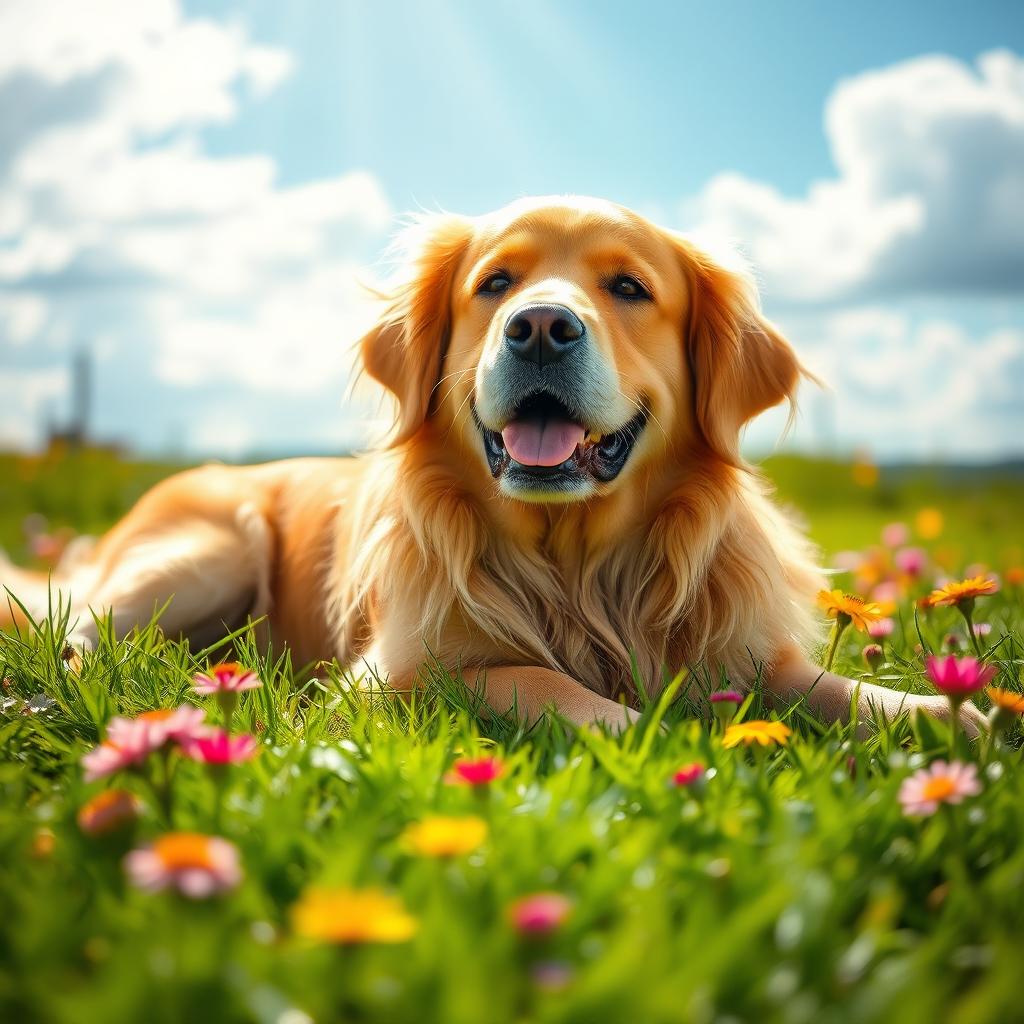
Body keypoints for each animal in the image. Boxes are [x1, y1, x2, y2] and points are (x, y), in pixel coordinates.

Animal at [2, 195, 983, 733]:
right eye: (496, 284)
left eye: (629, 288)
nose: (541, 326)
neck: (578, 564)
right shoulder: (389, 679)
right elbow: (539, 678)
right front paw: (661, 736)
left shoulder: (751, 653)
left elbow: (860, 696)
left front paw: (963, 723)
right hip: (205, 554)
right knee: (77, 638)